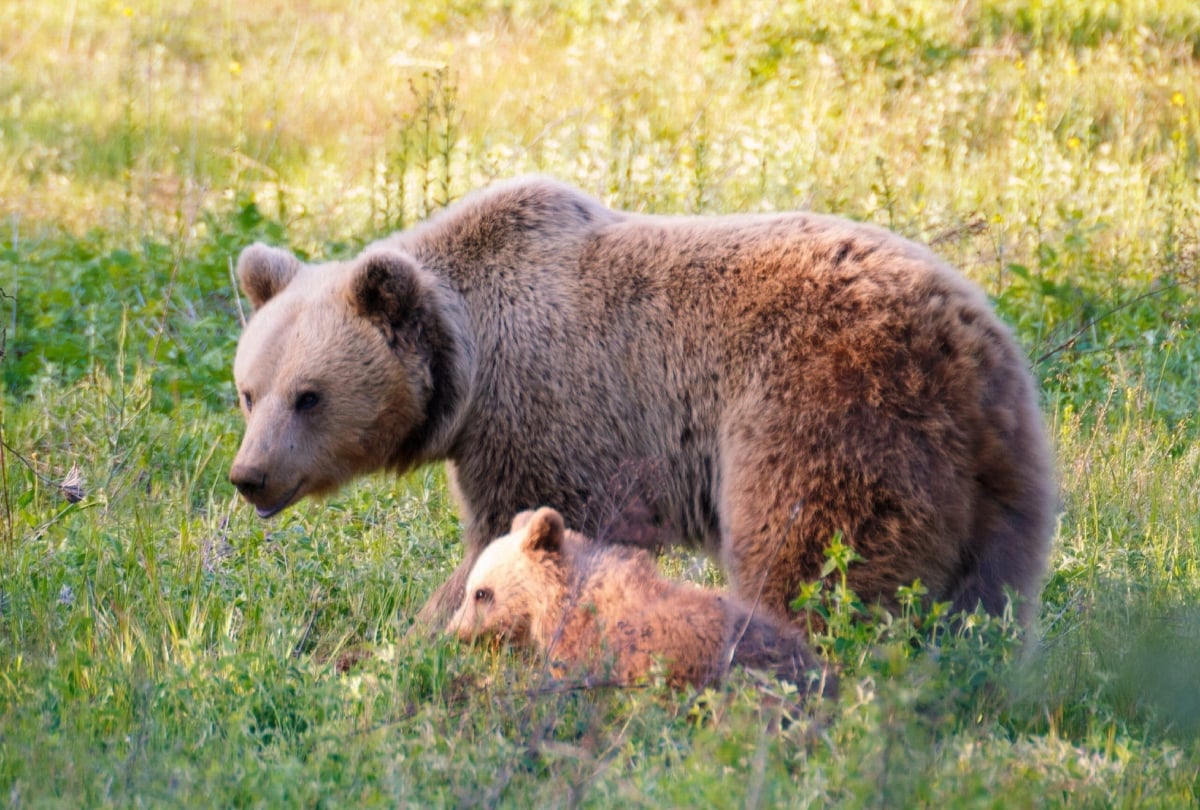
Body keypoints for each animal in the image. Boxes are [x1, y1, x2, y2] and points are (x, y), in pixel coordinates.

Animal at [229, 178, 1056, 628]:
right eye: (248, 392)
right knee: (989, 601)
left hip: (822, 408)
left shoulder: (547, 411)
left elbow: (514, 532)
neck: (470, 362)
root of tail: (962, 344)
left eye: (308, 396)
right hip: (1000, 472)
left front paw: (424, 635)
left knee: (813, 562)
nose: (250, 476)